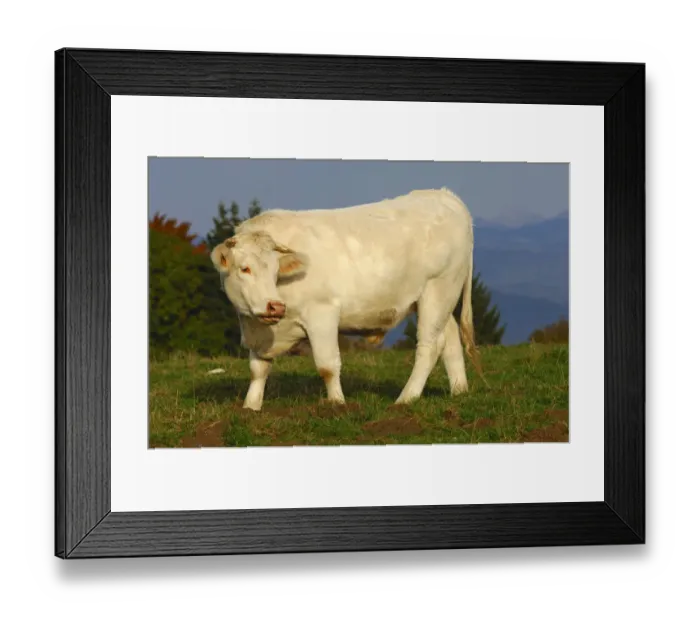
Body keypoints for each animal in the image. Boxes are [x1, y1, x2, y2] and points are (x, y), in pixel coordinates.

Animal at [210, 187, 481, 411]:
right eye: (245, 268)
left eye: (276, 270)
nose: (274, 306)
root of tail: (444, 195)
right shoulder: (259, 330)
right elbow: (258, 369)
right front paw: (250, 407)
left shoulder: (322, 313)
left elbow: (327, 365)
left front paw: (337, 404)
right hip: (440, 298)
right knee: (450, 337)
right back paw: (459, 391)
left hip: (437, 290)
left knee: (429, 346)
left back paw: (406, 399)